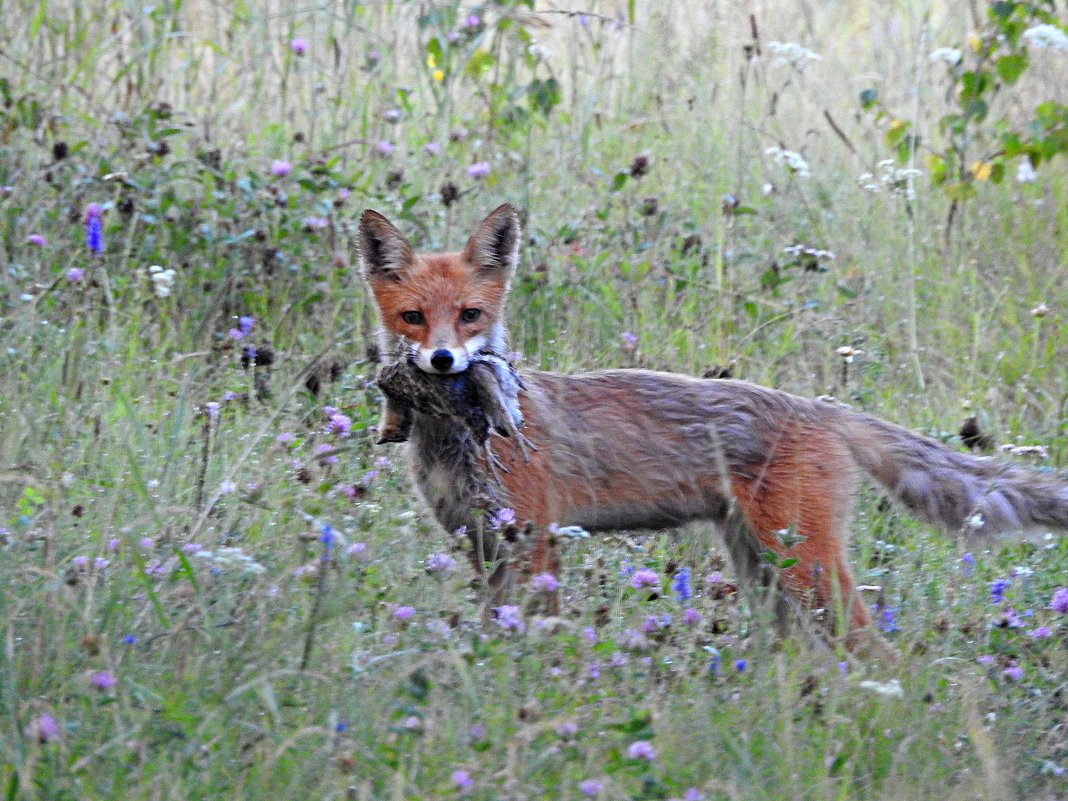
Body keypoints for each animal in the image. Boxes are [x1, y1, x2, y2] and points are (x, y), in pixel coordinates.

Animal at [360, 203, 1068, 653]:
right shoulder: (479, 544)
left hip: (803, 566)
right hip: (766, 570)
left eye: (471, 315)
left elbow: (544, 638)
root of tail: (821, 408)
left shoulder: (534, 539)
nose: (443, 361)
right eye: (413, 317)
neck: (458, 439)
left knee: (872, 645)